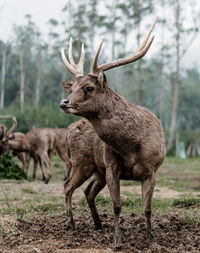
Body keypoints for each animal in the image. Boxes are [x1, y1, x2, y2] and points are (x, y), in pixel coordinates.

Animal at [59, 18, 166, 245]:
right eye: (72, 89)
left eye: (89, 88)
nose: (64, 102)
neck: (132, 146)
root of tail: (69, 130)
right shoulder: (111, 167)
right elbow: (117, 206)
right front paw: (117, 239)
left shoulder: (152, 170)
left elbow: (148, 208)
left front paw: (151, 237)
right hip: (82, 161)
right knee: (68, 185)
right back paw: (71, 224)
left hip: (95, 169)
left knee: (87, 191)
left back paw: (98, 224)